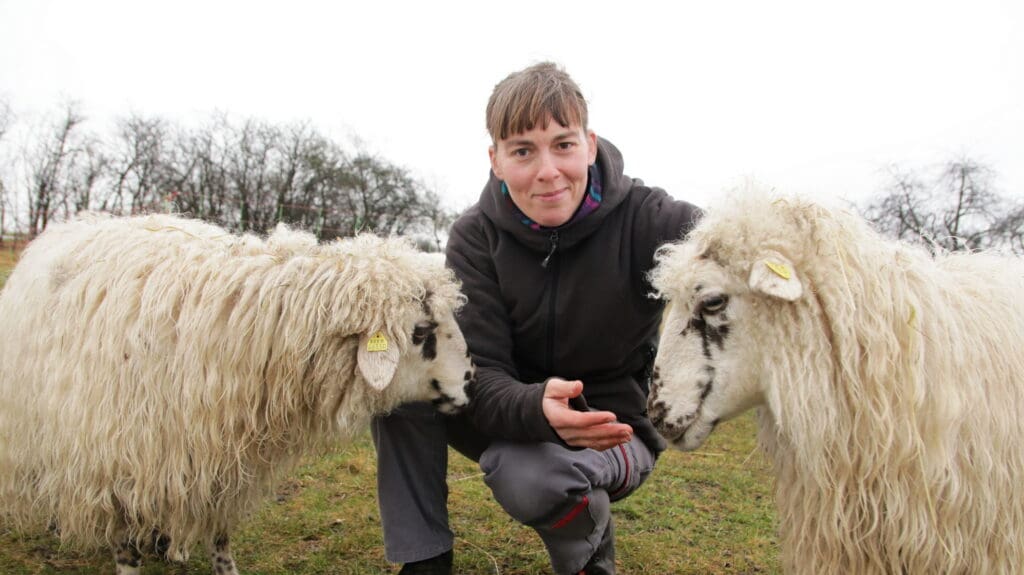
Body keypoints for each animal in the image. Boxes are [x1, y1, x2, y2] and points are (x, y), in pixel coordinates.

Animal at [0, 212, 471, 568]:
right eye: (421, 331)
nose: (469, 379)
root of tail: (73, 222)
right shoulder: (113, 455)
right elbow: (124, 545)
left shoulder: (220, 455)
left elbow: (220, 536)